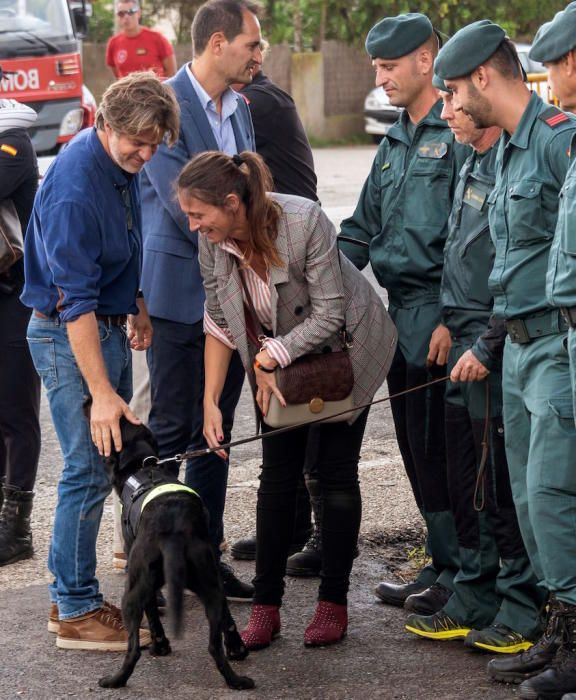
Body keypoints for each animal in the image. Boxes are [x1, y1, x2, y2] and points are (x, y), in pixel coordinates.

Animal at [97, 418, 254, 692]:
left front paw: (160, 646)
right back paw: (236, 677)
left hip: (132, 593)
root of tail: (173, 534)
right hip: (211, 584)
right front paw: (237, 648)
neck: (144, 469)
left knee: (133, 649)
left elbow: (152, 614)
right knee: (215, 645)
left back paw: (115, 680)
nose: (87, 405)